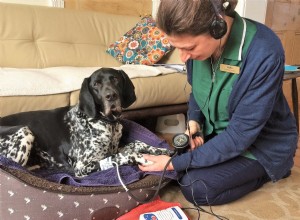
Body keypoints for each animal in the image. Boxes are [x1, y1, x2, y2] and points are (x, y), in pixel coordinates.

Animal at [0, 68, 173, 178]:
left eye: (115, 79)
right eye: (96, 84)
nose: (111, 96)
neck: (108, 123)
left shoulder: (114, 149)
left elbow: (136, 143)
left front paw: (162, 150)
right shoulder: (82, 166)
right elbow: (124, 155)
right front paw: (143, 158)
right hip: (25, 131)